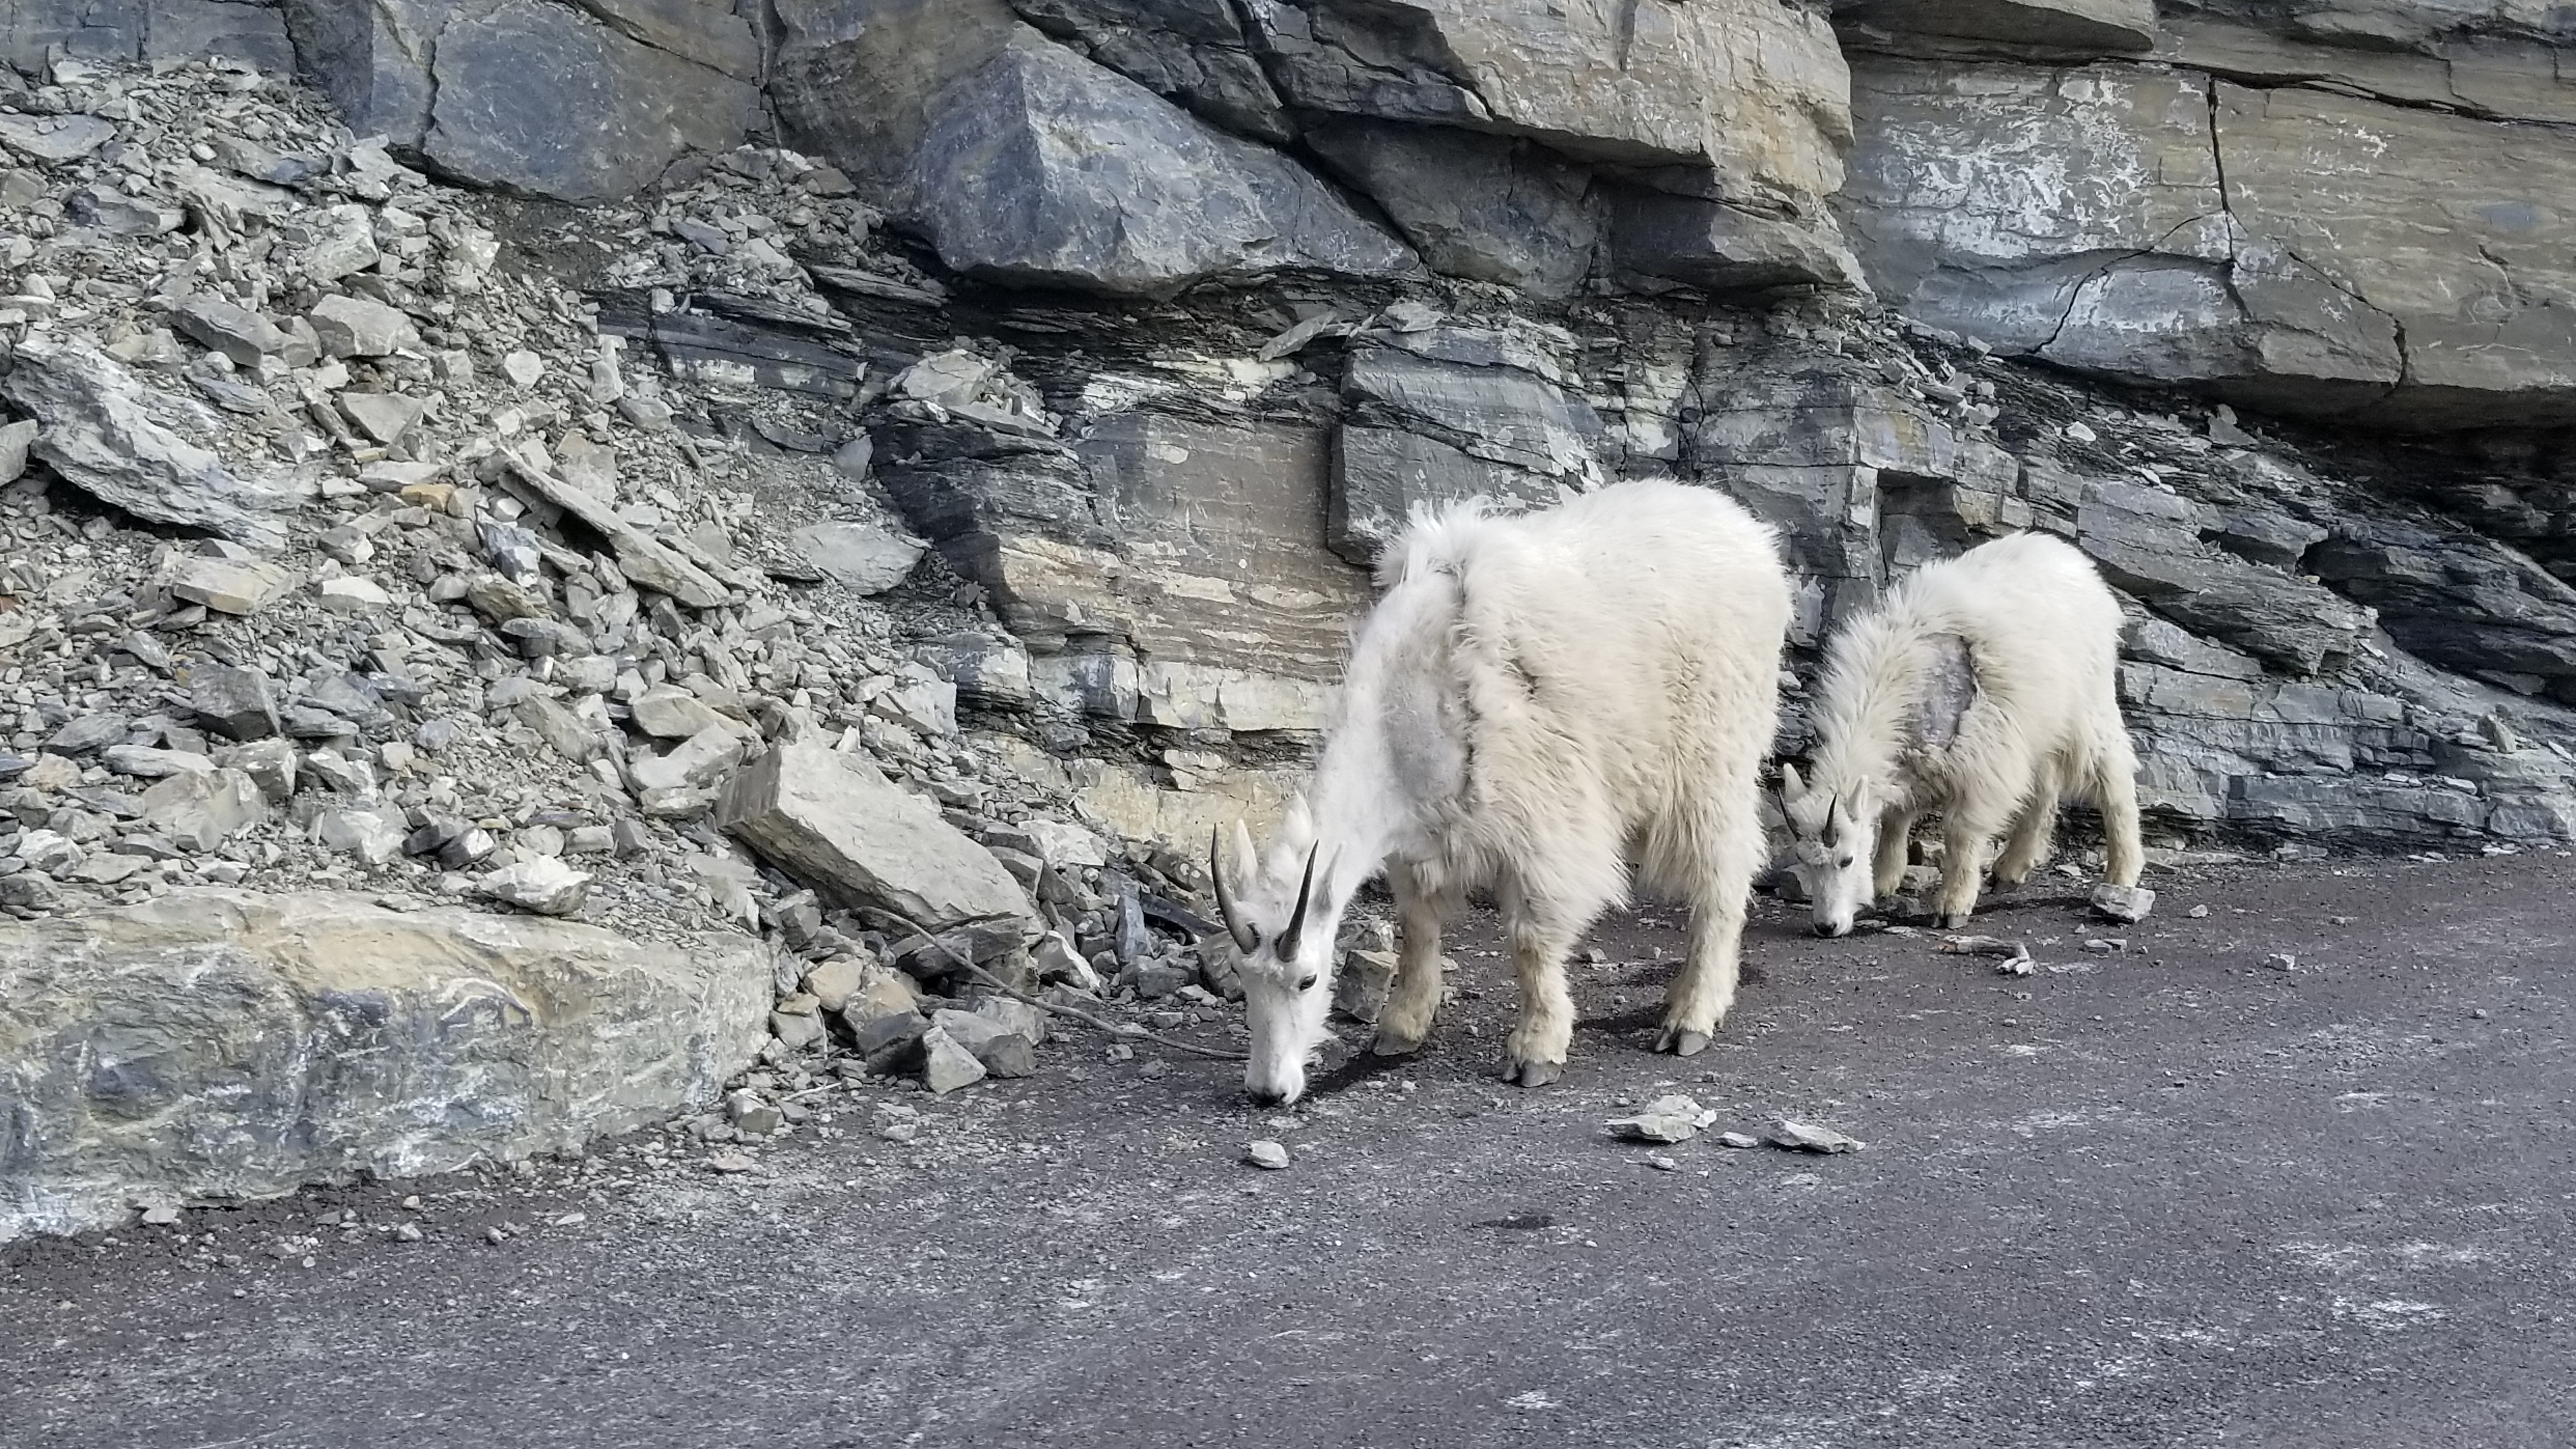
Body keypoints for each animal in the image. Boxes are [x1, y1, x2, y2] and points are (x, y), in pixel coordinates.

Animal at [1211, 479, 1793, 1098]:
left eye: (1308, 979)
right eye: (1244, 976)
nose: (1268, 1090)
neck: (1404, 707)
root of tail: (1752, 537)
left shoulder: (1541, 817)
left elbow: (1531, 939)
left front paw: (1537, 1050)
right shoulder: (1419, 833)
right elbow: (1419, 926)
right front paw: (1400, 1028)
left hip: (1714, 760)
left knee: (1722, 879)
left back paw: (1692, 1016)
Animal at [1782, 531, 2143, 938]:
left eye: (1846, 859)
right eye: (1804, 859)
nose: (1827, 926)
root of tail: (2083, 568)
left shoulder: (1981, 758)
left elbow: (1961, 833)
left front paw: (1952, 906)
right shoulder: (1914, 762)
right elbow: (1895, 820)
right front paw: (1884, 881)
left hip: (2089, 705)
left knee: (2113, 778)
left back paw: (2122, 874)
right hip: (2038, 722)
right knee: (2045, 788)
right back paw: (2011, 870)